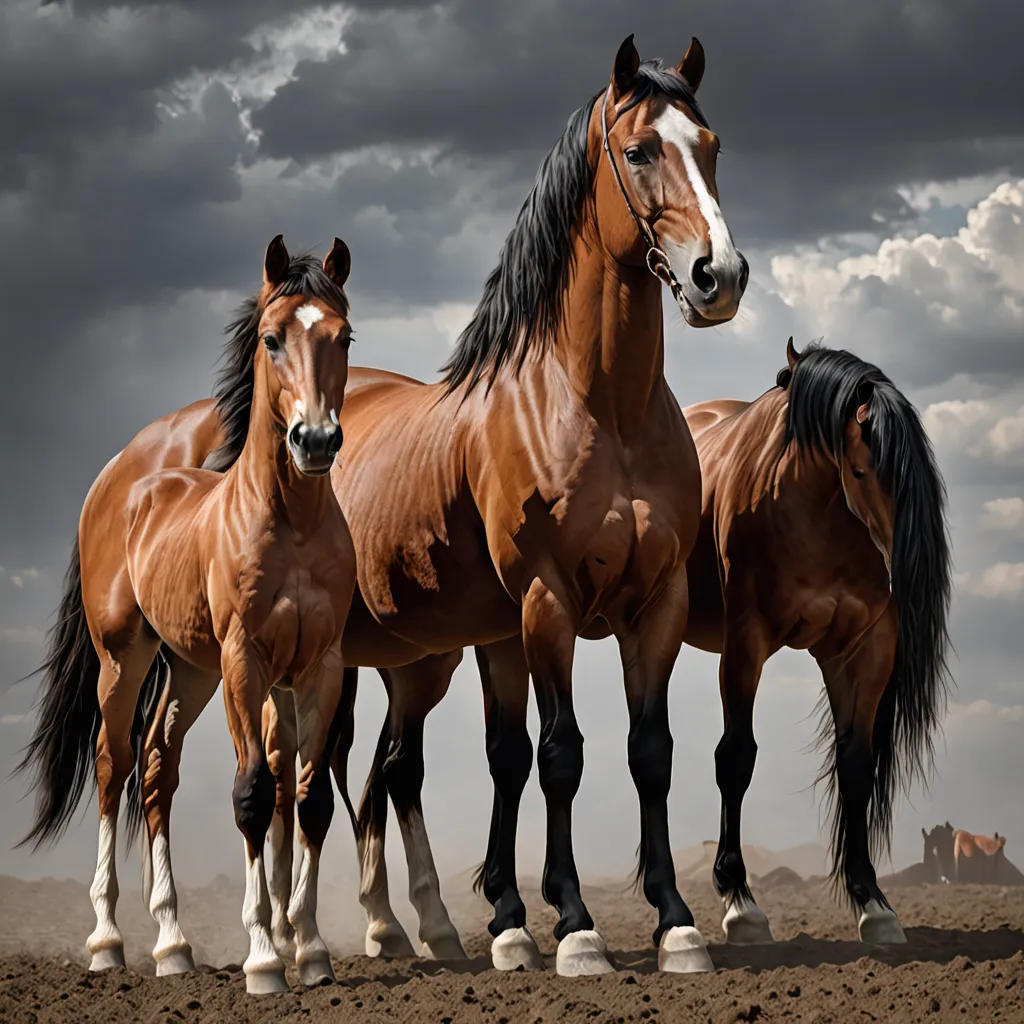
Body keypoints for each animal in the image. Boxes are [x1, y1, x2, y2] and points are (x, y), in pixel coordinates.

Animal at [17, 236, 357, 995]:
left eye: (345, 336)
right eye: (271, 339)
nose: (316, 441)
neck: (290, 524)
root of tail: (117, 484)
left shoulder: (320, 666)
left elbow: (311, 799)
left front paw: (313, 950)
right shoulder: (245, 662)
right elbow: (253, 793)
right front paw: (264, 958)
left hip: (190, 672)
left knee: (156, 768)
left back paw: (173, 944)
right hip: (126, 660)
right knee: (112, 763)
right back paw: (108, 941)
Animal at [79, 34, 748, 977]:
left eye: (712, 145)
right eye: (642, 149)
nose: (718, 276)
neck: (597, 405)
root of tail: (154, 451)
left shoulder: (648, 604)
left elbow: (640, 752)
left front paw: (669, 921)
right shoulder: (543, 603)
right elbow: (559, 754)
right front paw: (574, 926)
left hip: (337, 662)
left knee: (331, 773)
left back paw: (356, 929)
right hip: (180, 657)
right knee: (150, 767)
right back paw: (150, 940)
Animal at [321, 339, 949, 953]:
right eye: (861, 468)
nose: (897, 564)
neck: (808, 515)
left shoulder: (864, 650)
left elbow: (855, 764)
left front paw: (872, 903)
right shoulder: (746, 643)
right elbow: (735, 758)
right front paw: (739, 904)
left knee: (410, 770)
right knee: (432, 765)